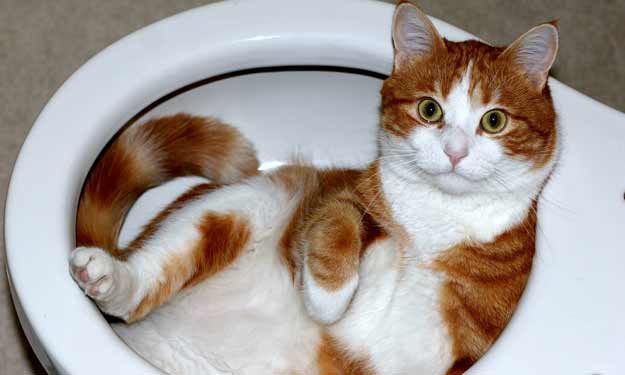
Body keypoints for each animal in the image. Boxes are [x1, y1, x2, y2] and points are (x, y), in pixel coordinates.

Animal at [68, 2, 556, 374]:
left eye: (494, 120)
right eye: (429, 110)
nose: (455, 152)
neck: (433, 220)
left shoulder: (473, 341)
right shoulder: (344, 192)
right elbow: (338, 224)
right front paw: (328, 299)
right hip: (250, 199)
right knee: (144, 282)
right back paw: (109, 276)